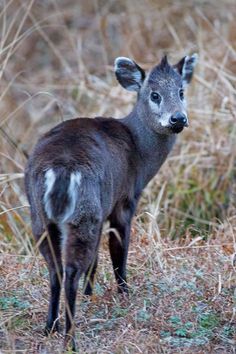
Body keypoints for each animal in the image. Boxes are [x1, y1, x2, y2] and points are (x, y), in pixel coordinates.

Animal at [24, 54, 197, 350]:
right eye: (154, 95)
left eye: (181, 92)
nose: (178, 118)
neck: (138, 151)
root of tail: (60, 169)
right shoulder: (124, 200)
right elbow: (118, 250)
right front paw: (124, 292)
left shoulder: (104, 210)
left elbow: (96, 259)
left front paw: (90, 294)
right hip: (84, 213)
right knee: (70, 271)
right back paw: (70, 340)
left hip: (42, 217)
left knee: (55, 270)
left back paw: (50, 327)